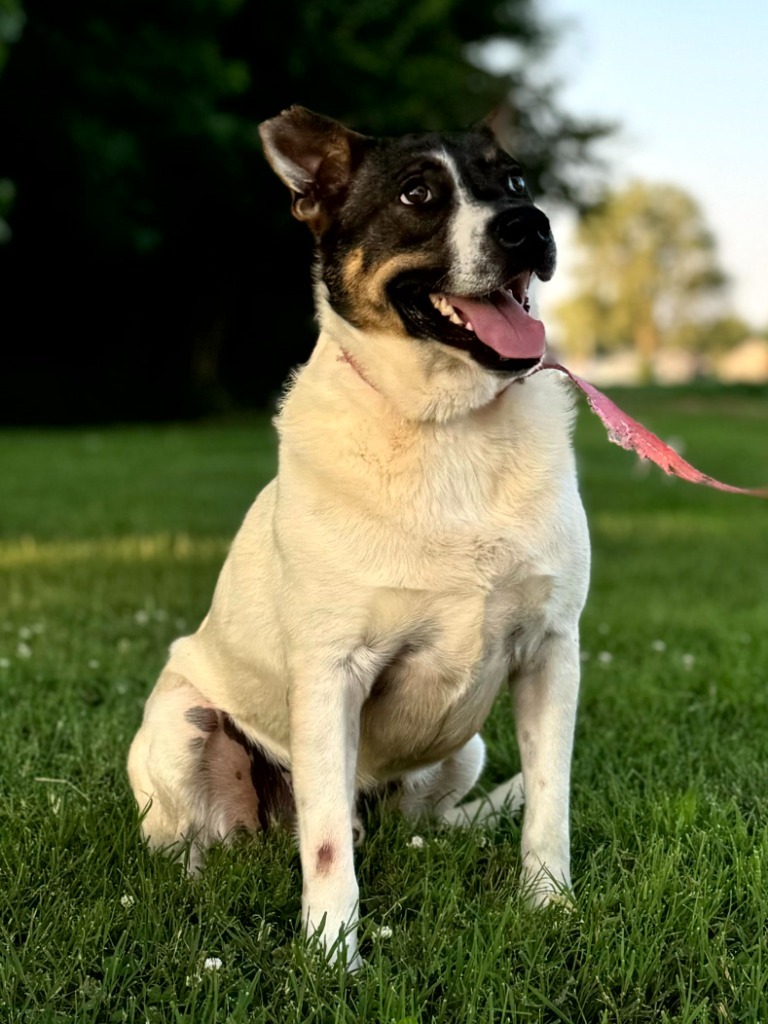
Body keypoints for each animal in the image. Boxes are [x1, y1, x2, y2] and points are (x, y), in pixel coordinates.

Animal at [129, 103, 593, 966]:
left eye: (515, 181)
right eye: (418, 193)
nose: (530, 226)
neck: (445, 428)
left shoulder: (552, 651)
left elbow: (551, 801)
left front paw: (550, 907)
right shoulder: (330, 672)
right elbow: (323, 845)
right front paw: (332, 953)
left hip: (465, 749)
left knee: (424, 823)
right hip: (182, 728)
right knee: (210, 844)